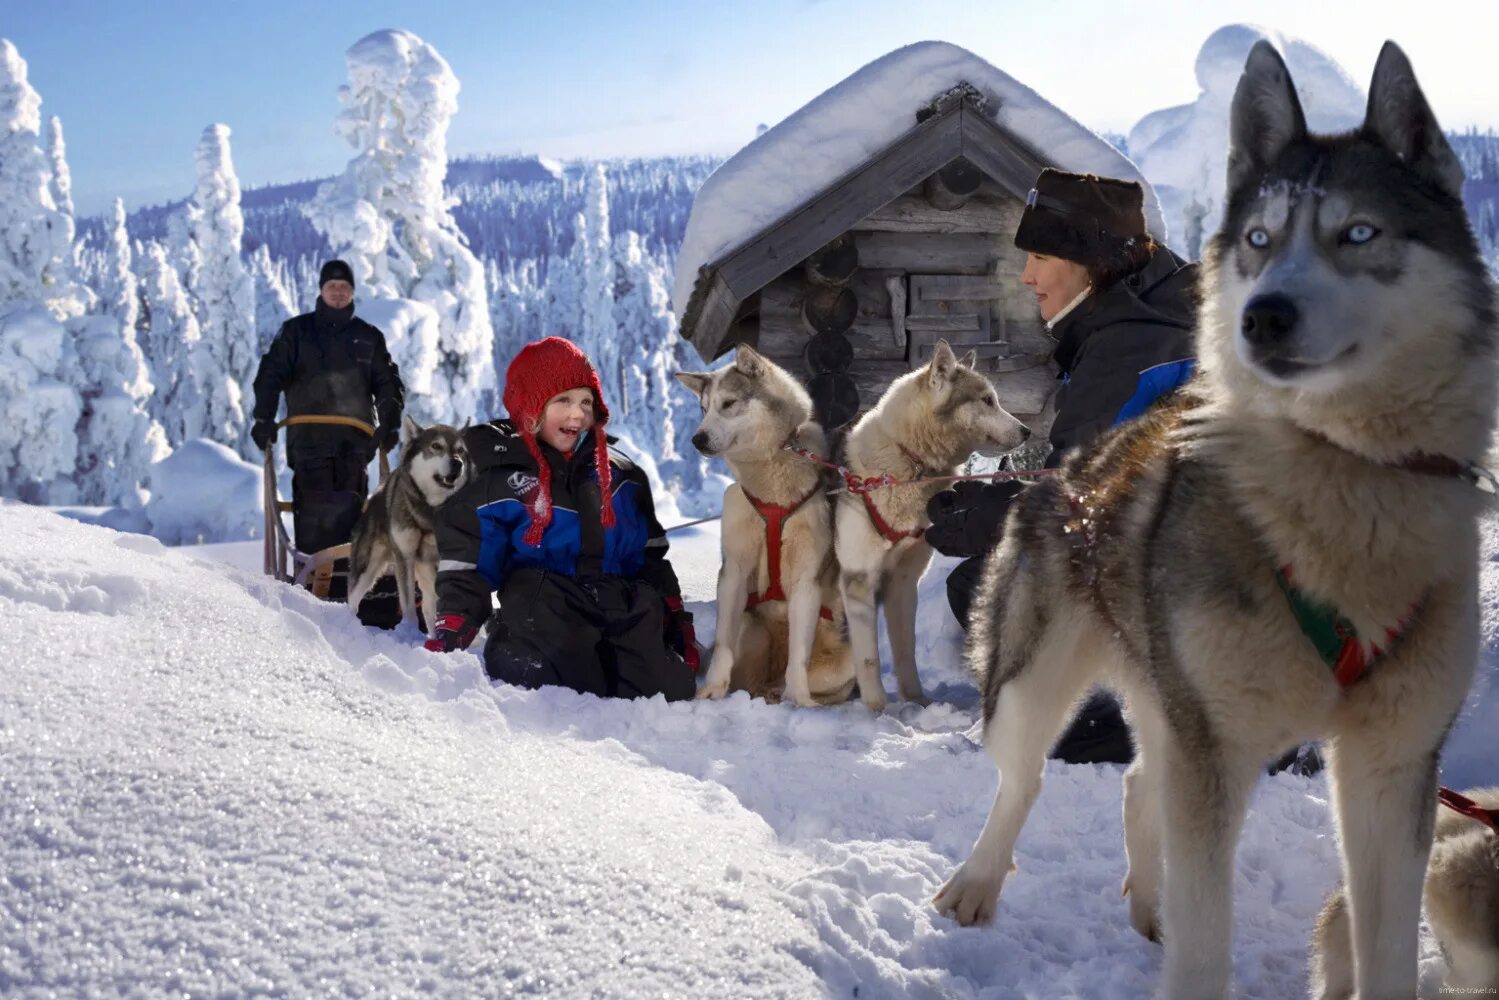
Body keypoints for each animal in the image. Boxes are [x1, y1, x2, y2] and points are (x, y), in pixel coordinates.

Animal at [349, 413, 470, 632]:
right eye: (436, 446)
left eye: (460, 451)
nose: (457, 463)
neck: (429, 512)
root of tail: (380, 488)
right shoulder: (404, 557)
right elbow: (408, 606)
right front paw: (409, 631)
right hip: (367, 568)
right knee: (353, 599)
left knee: (430, 609)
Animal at [671, 347, 857, 707]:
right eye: (703, 408)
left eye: (728, 403)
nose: (697, 438)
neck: (771, 489)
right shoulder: (733, 573)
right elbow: (724, 647)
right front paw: (711, 691)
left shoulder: (806, 581)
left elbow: (798, 659)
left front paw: (799, 700)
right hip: (750, 626)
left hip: (846, 659)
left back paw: (784, 694)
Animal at [833, 341, 1031, 710]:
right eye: (987, 400)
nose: (1028, 432)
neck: (910, 462)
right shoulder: (858, 582)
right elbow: (869, 659)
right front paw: (878, 711)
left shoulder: (903, 584)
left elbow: (905, 651)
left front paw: (916, 702)